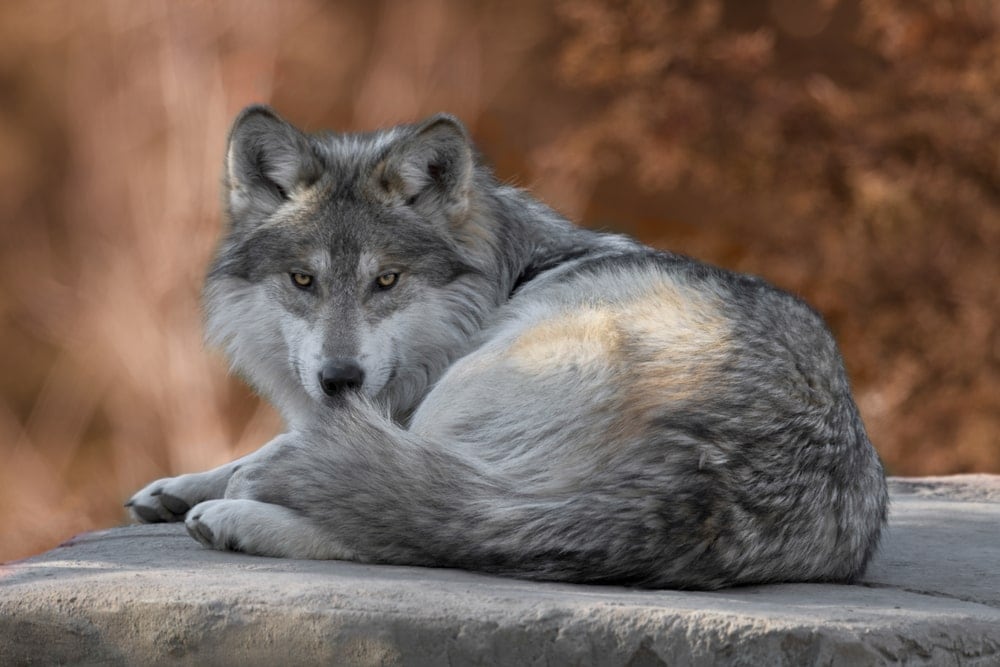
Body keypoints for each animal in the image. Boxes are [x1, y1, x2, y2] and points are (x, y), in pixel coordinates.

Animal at [126, 106, 887, 589]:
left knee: (418, 532)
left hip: (478, 392)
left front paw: (227, 484)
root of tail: (707, 483)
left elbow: (288, 455)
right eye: (302, 280)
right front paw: (172, 486)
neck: (506, 274)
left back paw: (235, 517)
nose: (340, 378)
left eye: (387, 280)